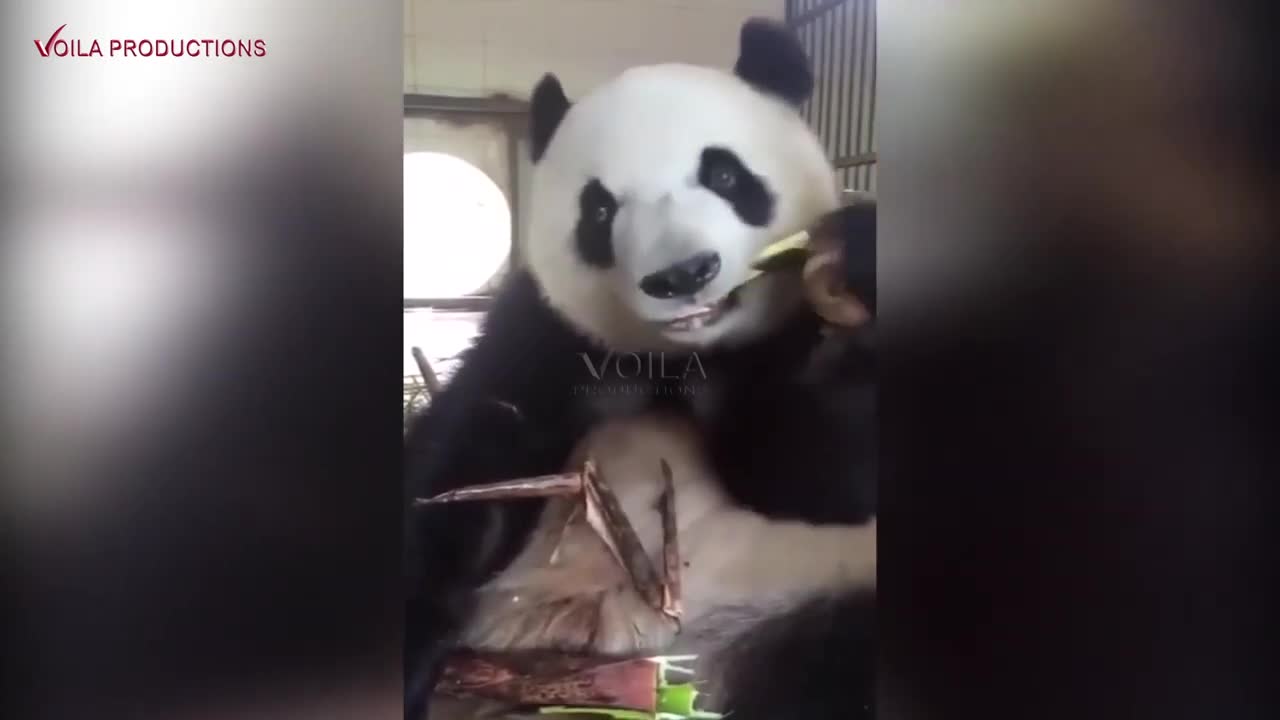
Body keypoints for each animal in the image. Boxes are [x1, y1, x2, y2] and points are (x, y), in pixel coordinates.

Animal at [404, 18, 875, 717]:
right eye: (600, 210)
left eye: (725, 175)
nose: (683, 274)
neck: (679, 357)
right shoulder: (547, 335)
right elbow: (466, 472)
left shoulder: (778, 340)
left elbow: (817, 475)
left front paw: (862, 255)